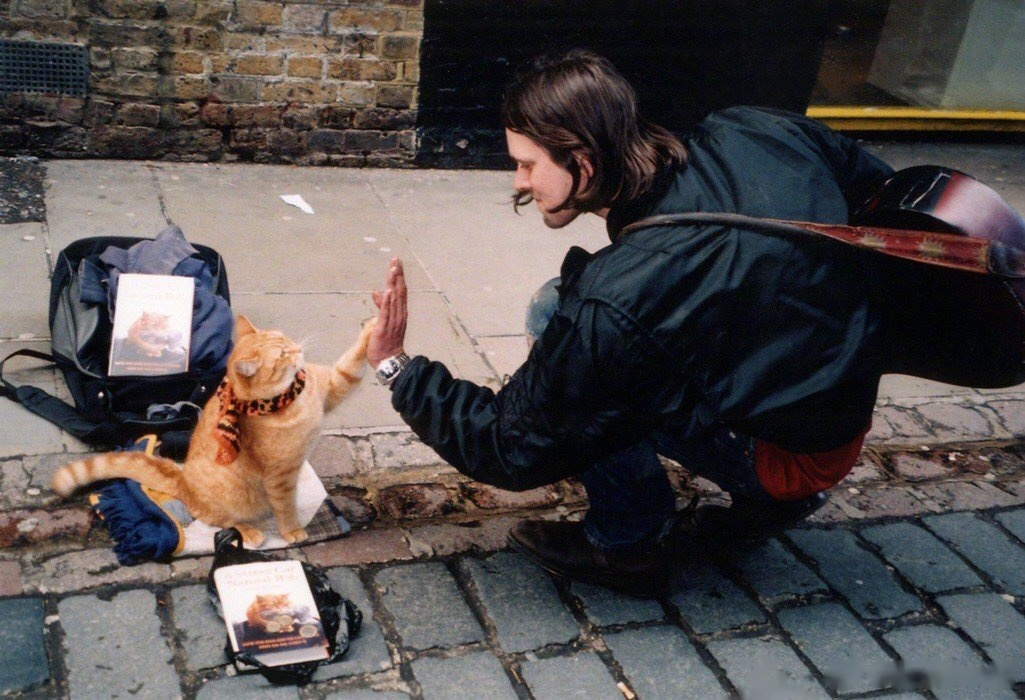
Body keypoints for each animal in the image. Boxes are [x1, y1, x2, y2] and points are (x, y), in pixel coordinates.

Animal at [52, 315, 373, 549]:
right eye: (283, 353)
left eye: (286, 338)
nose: (299, 349)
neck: (289, 400)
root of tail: (182, 478)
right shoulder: (280, 477)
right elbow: (285, 507)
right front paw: (292, 530)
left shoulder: (334, 385)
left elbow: (353, 361)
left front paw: (374, 324)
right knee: (218, 519)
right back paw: (251, 532)